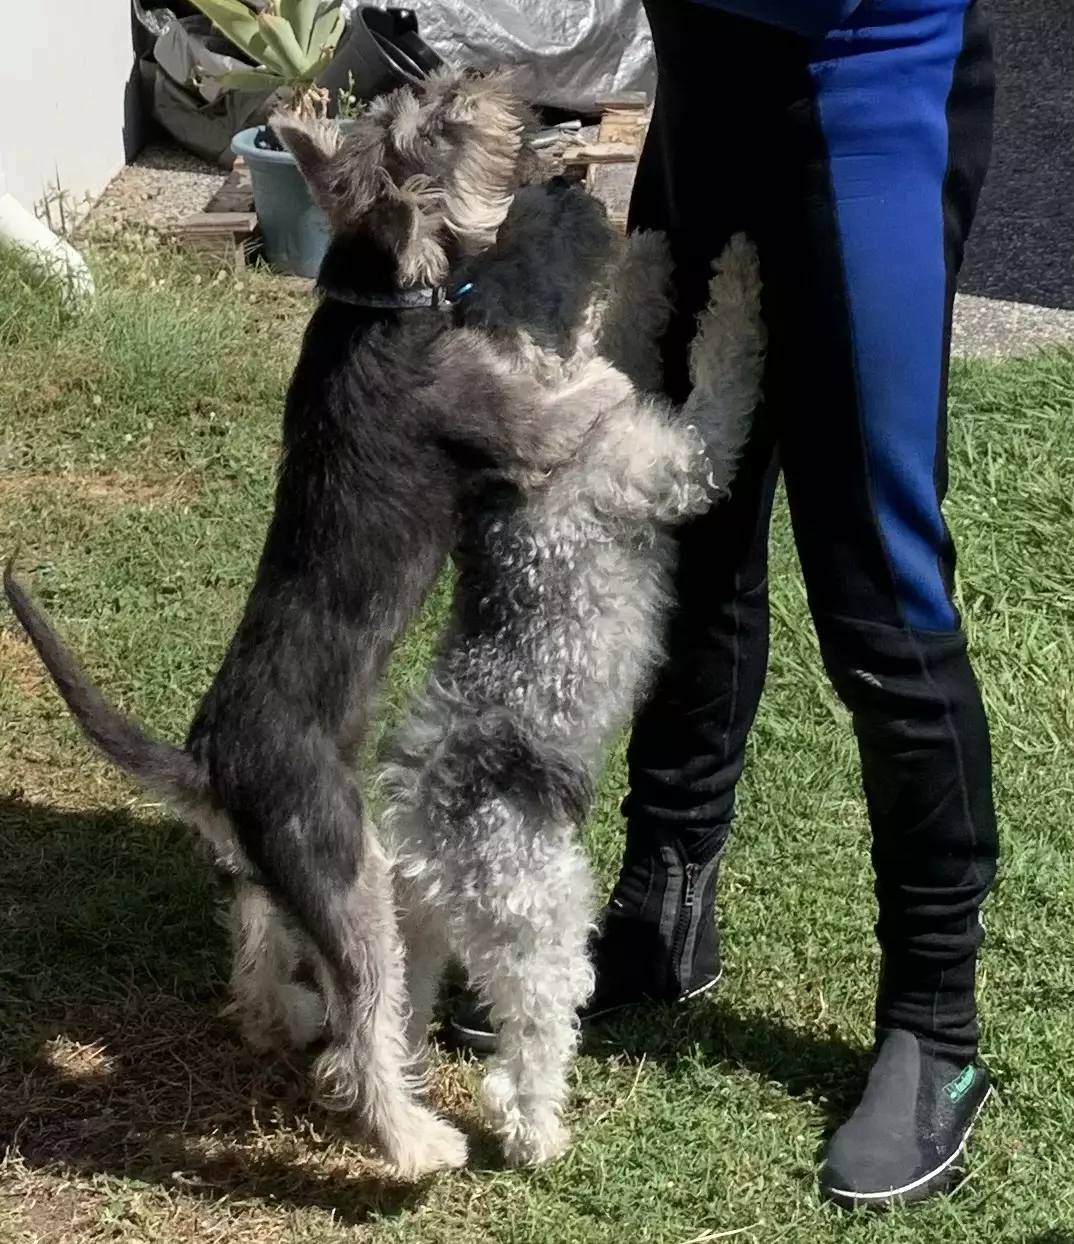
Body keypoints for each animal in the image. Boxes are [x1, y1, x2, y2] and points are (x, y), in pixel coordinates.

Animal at [3, 70, 626, 1179]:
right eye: (439, 123)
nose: (491, 80)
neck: (375, 298)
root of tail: (207, 765)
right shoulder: (517, 426)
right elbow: (579, 394)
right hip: (350, 871)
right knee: (366, 1030)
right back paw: (417, 1143)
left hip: (277, 874)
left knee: (257, 958)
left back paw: (284, 1013)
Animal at [377, 181, 767, 1166]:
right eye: (525, 236)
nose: (569, 179)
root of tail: (423, 834)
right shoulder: (683, 461)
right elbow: (723, 367)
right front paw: (740, 272)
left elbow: (631, 329)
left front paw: (656, 258)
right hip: (541, 930)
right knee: (530, 1044)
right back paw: (537, 1131)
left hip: (419, 936)